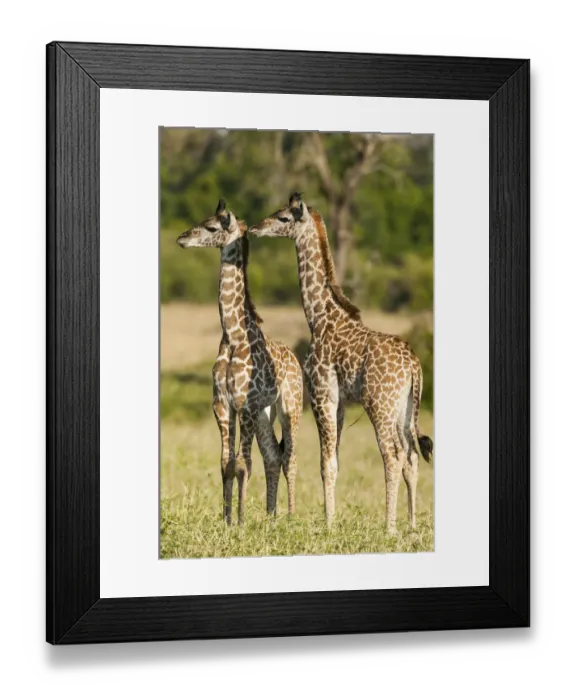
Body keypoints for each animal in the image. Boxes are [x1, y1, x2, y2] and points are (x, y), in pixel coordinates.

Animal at [177, 199, 303, 526]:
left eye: (211, 227)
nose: (181, 238)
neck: (232, 336)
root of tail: (296, 361)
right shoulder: (223, 403)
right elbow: (226, 463)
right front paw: (227, 519)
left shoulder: (244, 404)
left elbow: (243, 463)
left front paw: (242, 521)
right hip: (264, 414)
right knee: (273, 456)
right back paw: (271, 517)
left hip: (290, 407)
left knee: (290, 457)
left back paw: (289, 516)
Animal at [249, 193, 433, 533]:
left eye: (283, 218)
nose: (255, 227)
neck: (320, 317)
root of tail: (414, 365)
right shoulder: (341, 403)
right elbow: (335, 459)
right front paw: (330, 519)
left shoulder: (322, 394)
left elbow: (326, 463)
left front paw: (328, 525)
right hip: (404, 408)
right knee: (412, 456)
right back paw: (412, 525)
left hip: (379, 404)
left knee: (393, 455)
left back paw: (390, 528)